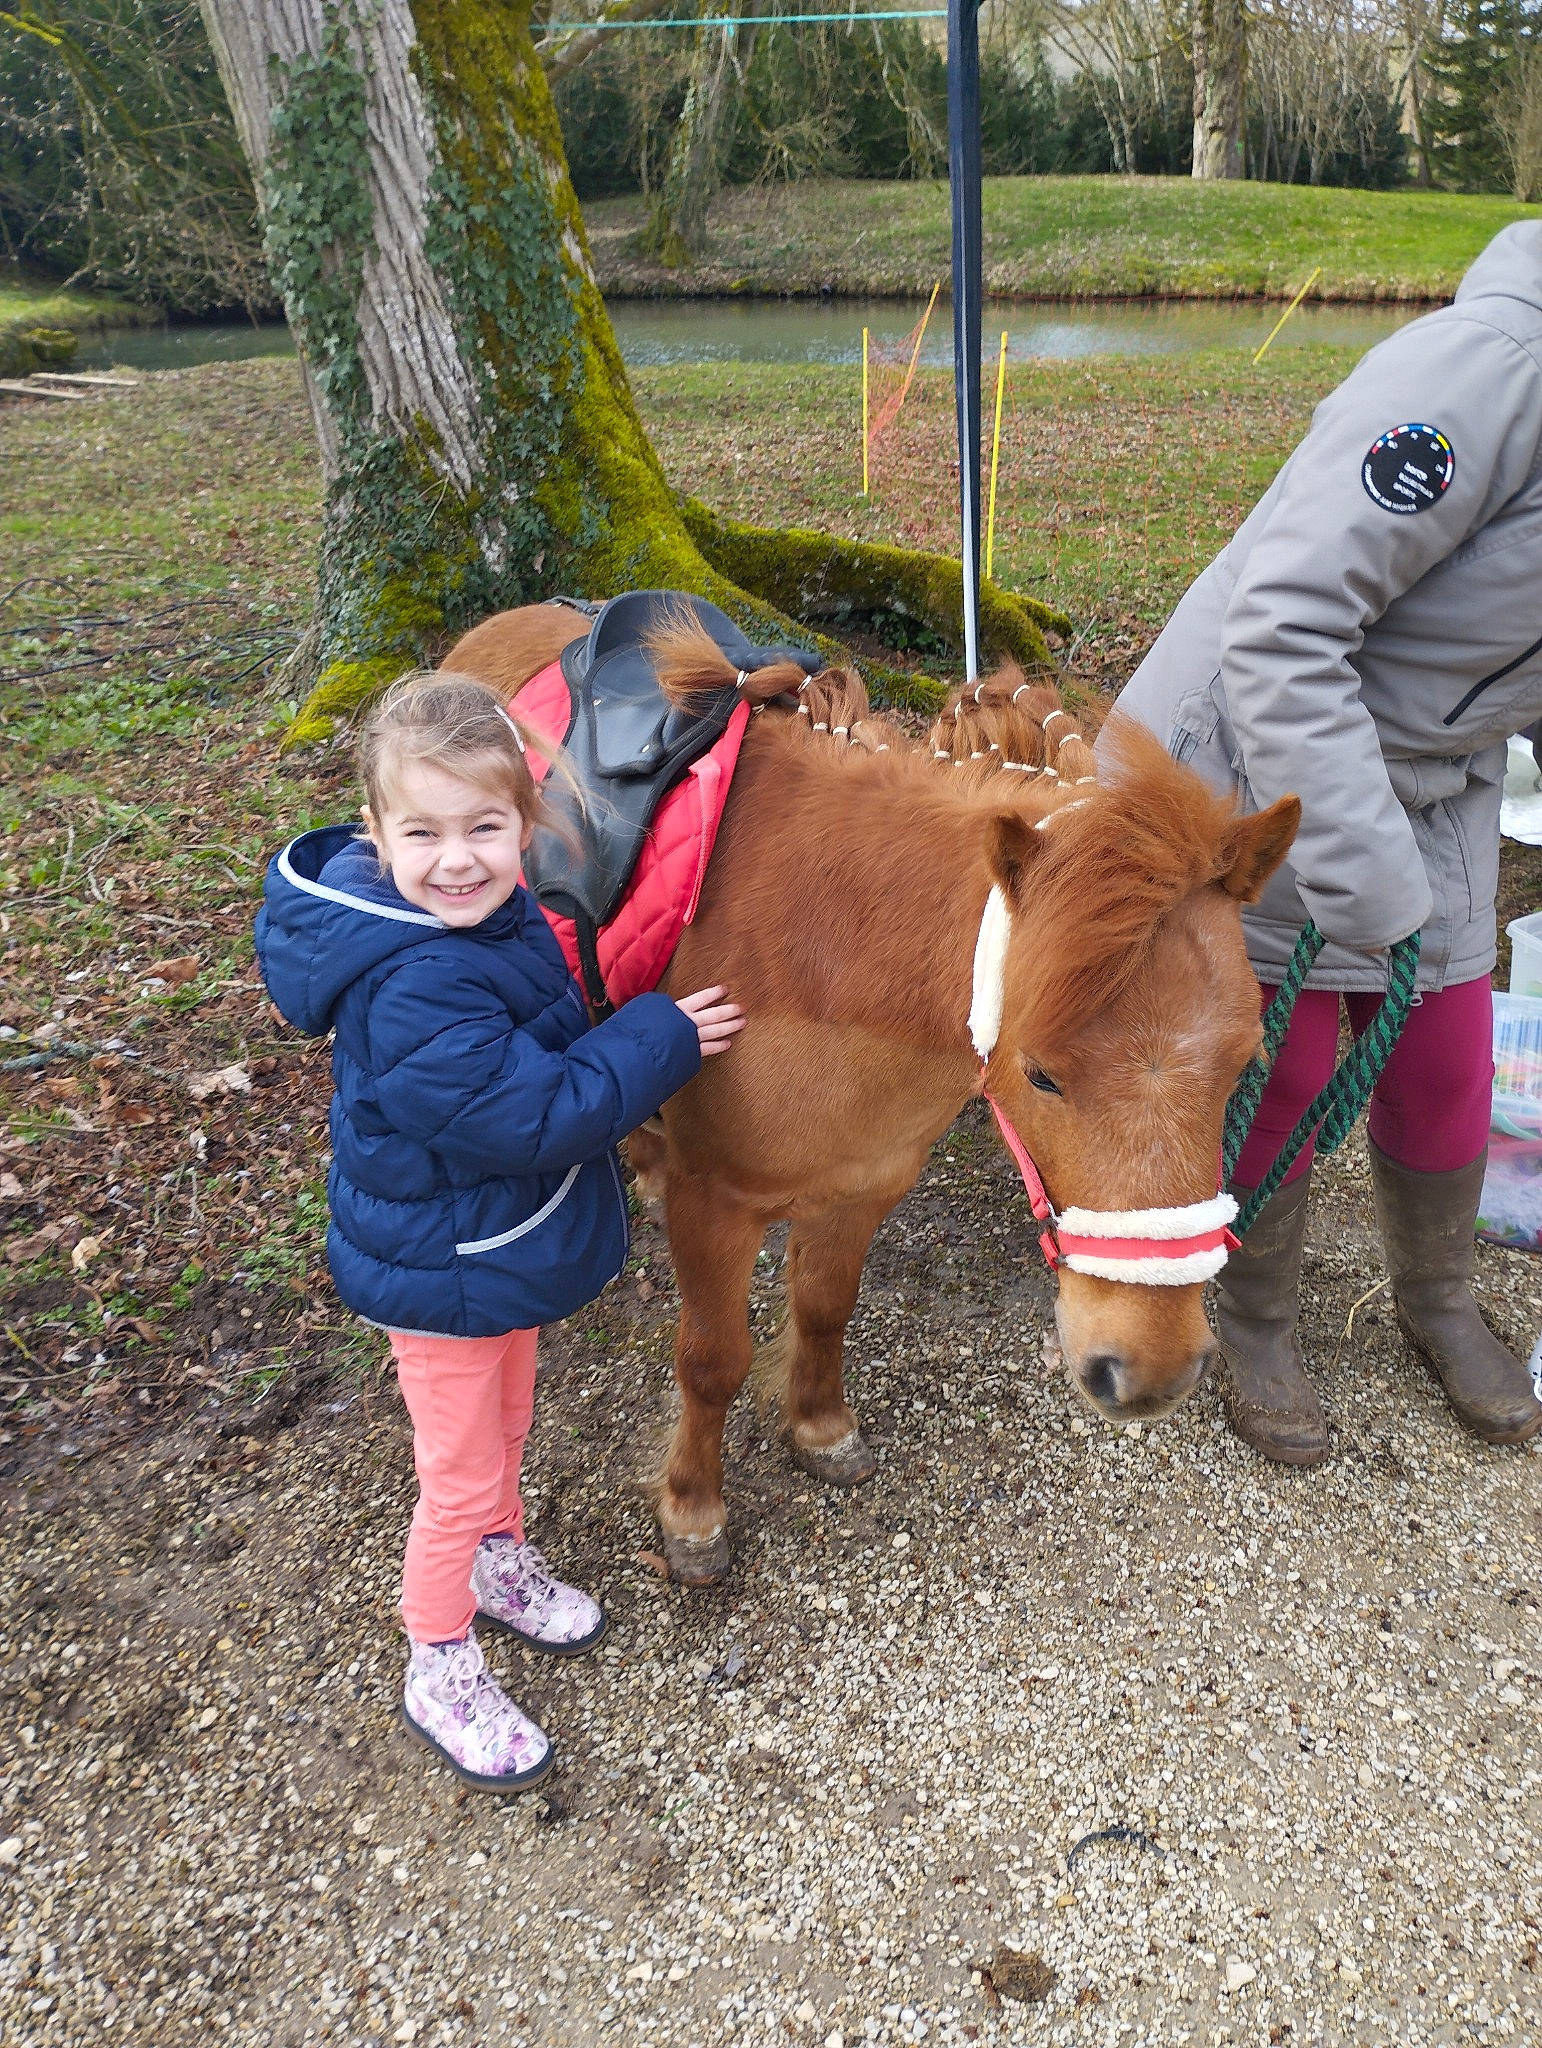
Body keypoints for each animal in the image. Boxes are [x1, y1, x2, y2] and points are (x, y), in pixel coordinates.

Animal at [443, 602, 1300, 1584]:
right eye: (1041, 1072)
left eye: (1244, 1061)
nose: (1151, 1372)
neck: (839, 942)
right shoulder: (717, 1204)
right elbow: (711, 1359)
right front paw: (693, 1510)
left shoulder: (863, 1184)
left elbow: (824, 1309)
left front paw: (820, 1428)